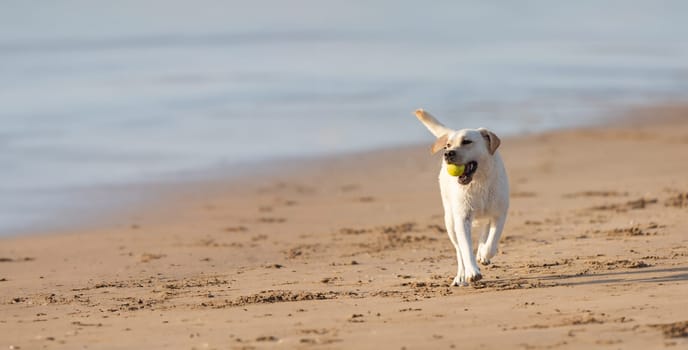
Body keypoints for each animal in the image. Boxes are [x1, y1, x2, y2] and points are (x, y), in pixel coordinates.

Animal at [416, 109, 508, 288]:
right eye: (448, 145)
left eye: (467, 142)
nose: (447, 153)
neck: (479, 182)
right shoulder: (462, 219)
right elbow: (465, 248)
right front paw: (472, 272)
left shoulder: (500, 213)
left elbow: (492, 240)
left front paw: (484, 254)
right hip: (450, 221)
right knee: (458, 249)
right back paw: (460, 276)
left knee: (485, 230)